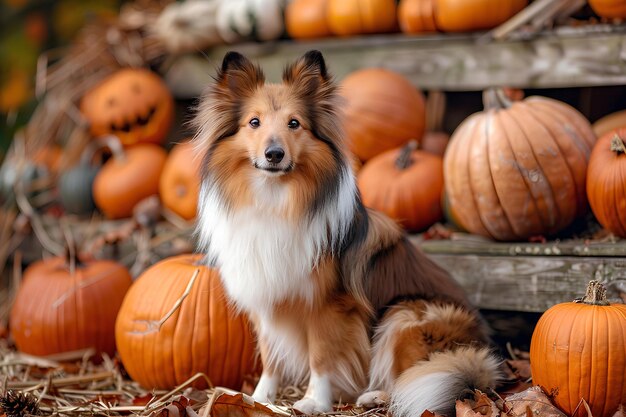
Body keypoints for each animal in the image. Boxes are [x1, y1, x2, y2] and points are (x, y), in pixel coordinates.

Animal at [193, 50, 500, 414]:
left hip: (405, 315)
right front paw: (258, 398)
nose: (274, 154)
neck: (275, 199)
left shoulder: (328, 305)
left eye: (294, 123)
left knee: (415, 376)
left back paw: (376, 396)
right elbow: (270, 357)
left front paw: (313, 401)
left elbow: (321, 354)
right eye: (254, 122)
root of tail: (479, 351)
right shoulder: (264, 295)